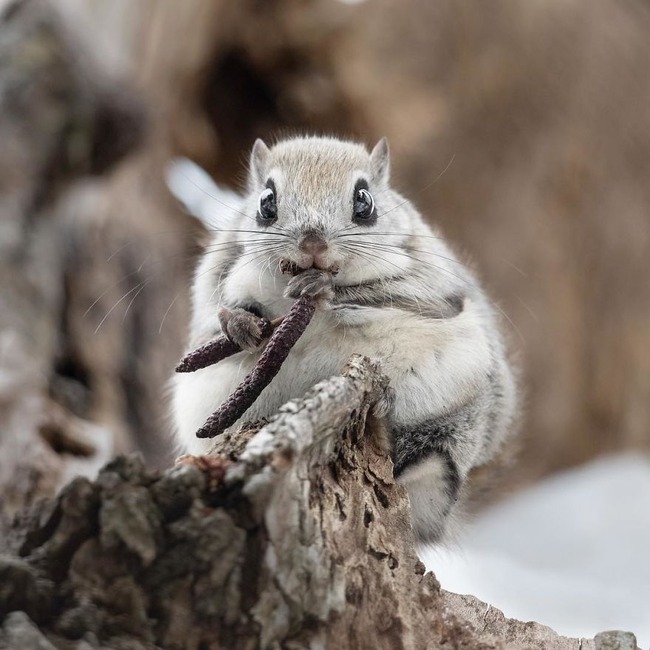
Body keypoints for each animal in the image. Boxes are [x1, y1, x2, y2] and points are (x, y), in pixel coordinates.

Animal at [171, 136, 518, 544]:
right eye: (266, 202)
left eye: (364, 201)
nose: (312, 242)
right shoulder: (217, 271)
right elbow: (214, 315)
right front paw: (239, 325)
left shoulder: (433, 285)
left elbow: (390, 296)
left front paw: (322, 289)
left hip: (455, 417)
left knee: (424, 458)